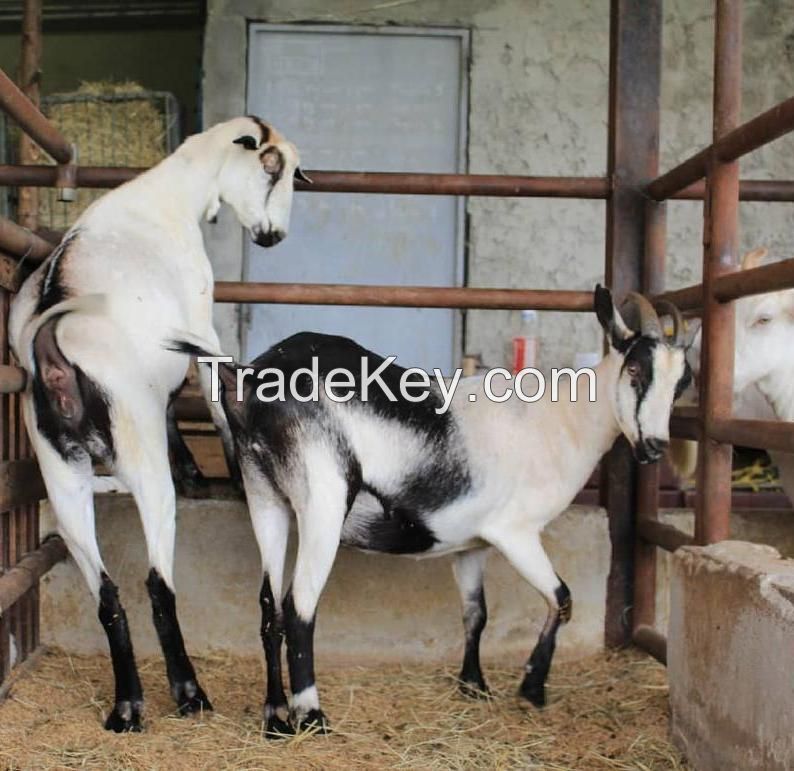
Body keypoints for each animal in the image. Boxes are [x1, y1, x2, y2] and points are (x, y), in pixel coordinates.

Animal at [9, 116, 305, 732]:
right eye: (273, 167)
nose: (273, 236)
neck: (168, 197)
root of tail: (51, 345)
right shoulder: (201, 325)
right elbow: (213, 394)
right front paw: (229, 474)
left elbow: (175, 409)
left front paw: (196, 470)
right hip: (136, 449)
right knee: (156, 584)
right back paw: (188, 691)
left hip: (60, 473)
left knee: (107, 594)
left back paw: (128, 704)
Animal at [172, 286, 691, 735]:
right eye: (636, 370)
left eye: (682, 382)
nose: (654, 447)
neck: (557, 421)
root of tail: (249, 376)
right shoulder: (516, 532)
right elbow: (561, 598)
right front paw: (532, 686)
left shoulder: (471, 544)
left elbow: (476, 613)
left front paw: (474, 685)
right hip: (323, 497)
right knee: (299, 605)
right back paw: (312, 716)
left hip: (266, 497)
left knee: (268, 607)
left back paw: (275, 717)